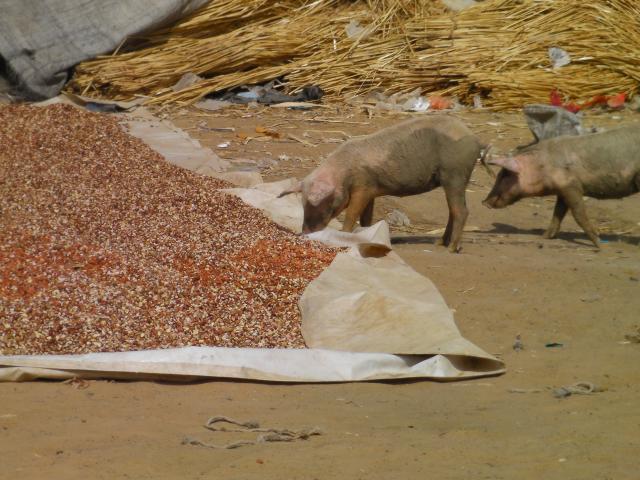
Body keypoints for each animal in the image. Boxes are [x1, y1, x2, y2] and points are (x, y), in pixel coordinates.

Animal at [276, 116, 490, 253]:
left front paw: (344, 234)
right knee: (453, 210)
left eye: (318, 204)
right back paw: (440, 243)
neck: (344, 173)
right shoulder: (371, 191)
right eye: (303, 204)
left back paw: (452, 249)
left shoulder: (363, 187)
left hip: (455, 173)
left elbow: (352, 214)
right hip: (453, 178)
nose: (304, 233)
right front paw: (367, 234)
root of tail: (476, 139)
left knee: (462, 211)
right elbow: (366, 219)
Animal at [484, 124, 640, 248]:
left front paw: (599, 244)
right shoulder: (562, 191)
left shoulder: (571, 186)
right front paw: (544, 237)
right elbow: (557, 214)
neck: (542, 166)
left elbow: (578, 214)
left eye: (504, 175)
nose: (484, 202)